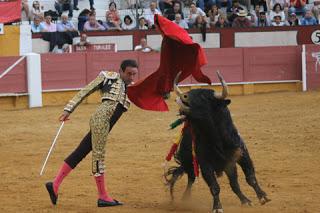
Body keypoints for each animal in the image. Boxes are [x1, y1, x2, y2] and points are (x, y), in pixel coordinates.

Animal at [165, 72, 270, 213]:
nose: (183, 96)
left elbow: (250, 177)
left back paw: (245, 200)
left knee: (234, 183)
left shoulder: (241, 155)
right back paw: (185, 198)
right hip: (189, 161)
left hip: (229, 165)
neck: (216, 139)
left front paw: (262, 197)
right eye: (191, 92)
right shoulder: (205, 164)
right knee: (191, 178)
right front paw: (217, 207)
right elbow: (214, 187)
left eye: (203, 97)